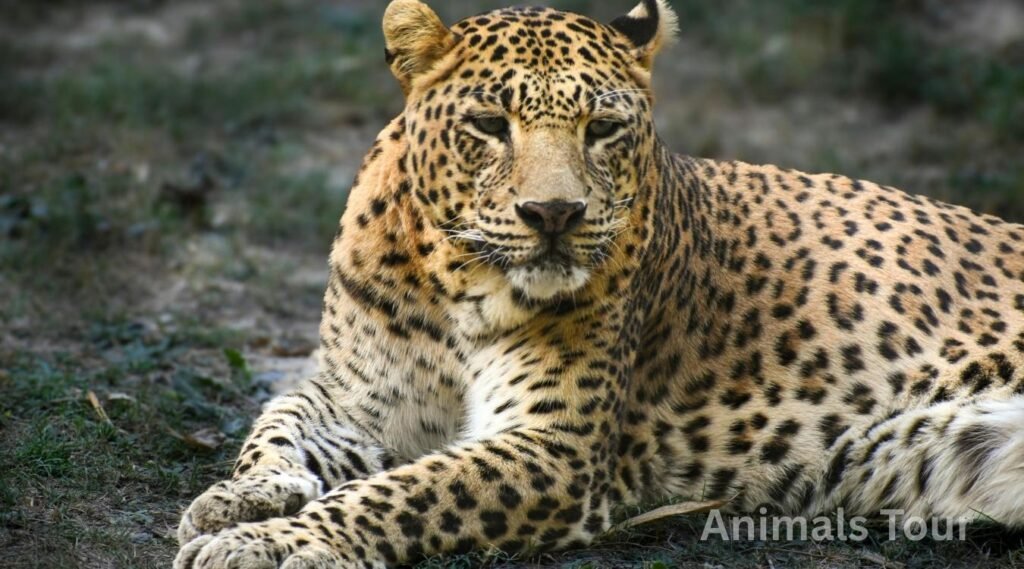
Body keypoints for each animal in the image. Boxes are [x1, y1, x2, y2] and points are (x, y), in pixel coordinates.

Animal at [175, 1, 1024, 567]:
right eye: (490, 124)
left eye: (603, 128)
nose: (553, 213)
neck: (452, 284)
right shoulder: (355, 396)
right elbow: (276, 422)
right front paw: (240, 498)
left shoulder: (558, 446)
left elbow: (401, 493)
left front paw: (270, 540)